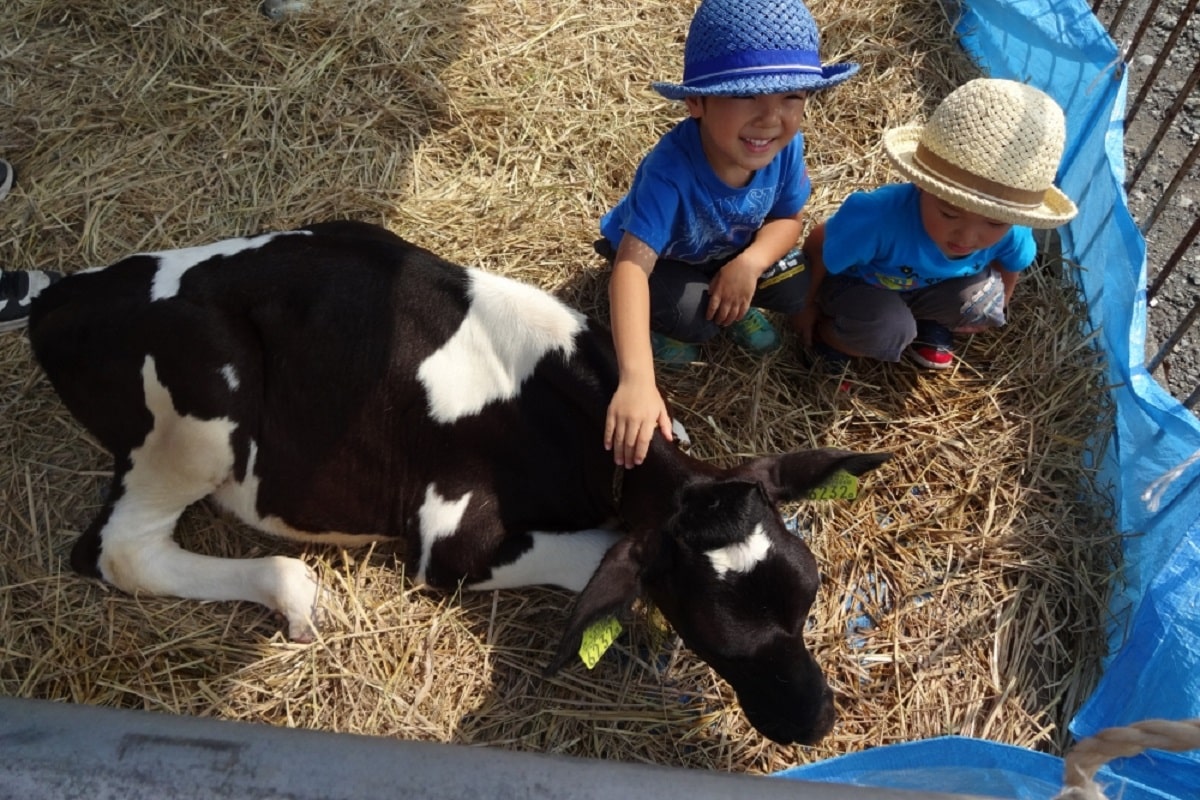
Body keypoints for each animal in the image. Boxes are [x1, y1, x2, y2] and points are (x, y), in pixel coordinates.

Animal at [28, 219, 892, 743]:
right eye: (714, 634)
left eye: (808, 595)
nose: (818, 720)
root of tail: (64, 296)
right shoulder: (449, 537)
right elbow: (593, 558)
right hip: (198, 419)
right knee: (120, 550)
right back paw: (290, 590)